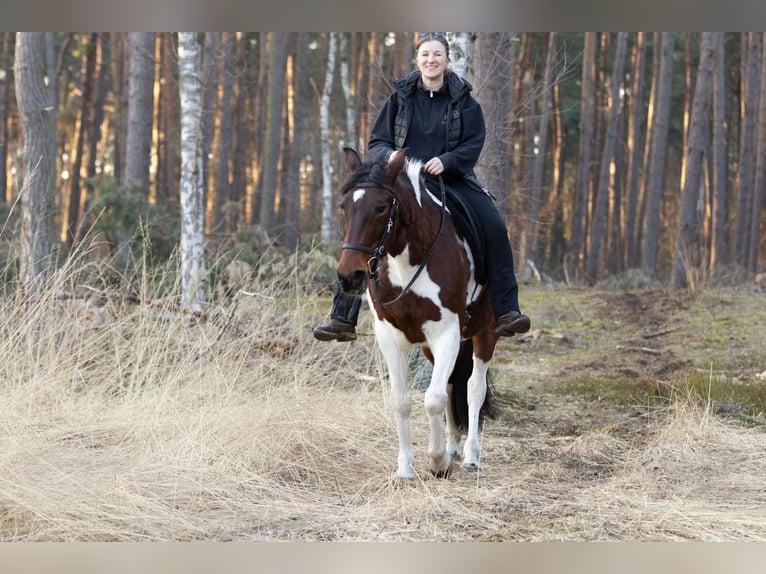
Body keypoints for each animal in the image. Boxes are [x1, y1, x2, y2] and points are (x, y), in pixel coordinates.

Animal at [336, 148, 498, 482]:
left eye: (381, 207)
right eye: (344, 207)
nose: (350, 277)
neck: (408, 262)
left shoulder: (447, 334)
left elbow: (433, 399)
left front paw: (437, 462)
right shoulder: (391, 338)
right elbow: (403, 401)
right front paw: (405, 467)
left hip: (485, 332)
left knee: (473, 388)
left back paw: (470, 457)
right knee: (452, 385)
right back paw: (452, 447)